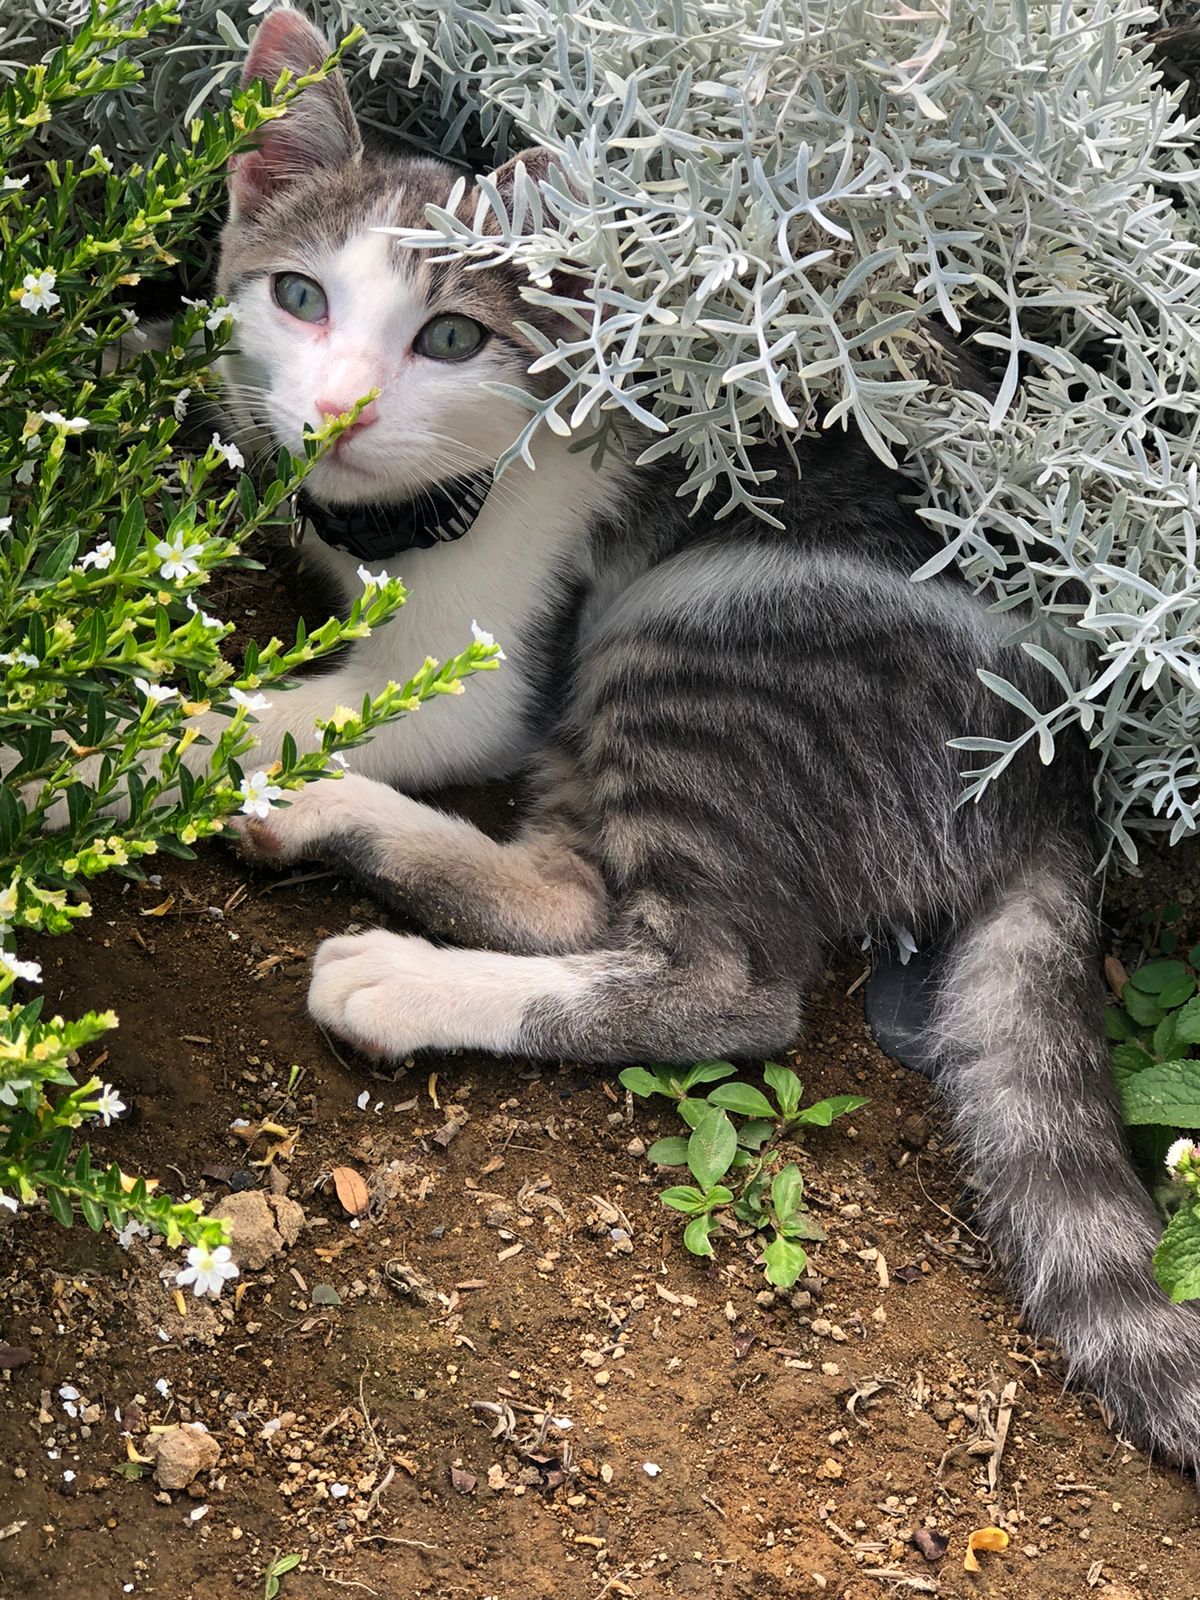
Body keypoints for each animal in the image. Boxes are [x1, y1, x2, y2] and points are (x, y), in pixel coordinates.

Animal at [214, 8, 1200, 1470]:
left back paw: (391, 960)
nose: (339, 411)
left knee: (717, 984)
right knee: (571, 891)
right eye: (299, 298)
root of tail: (1057, 783)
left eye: (448, 335)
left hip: (701, 630)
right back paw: (334, 831)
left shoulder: (480, 674)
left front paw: (114, 753)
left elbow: (315, 708)